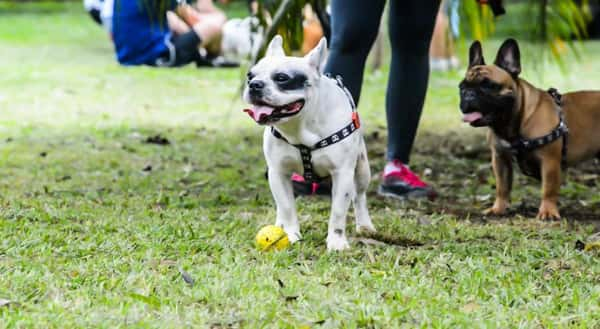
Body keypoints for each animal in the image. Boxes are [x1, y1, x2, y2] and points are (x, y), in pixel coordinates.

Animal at [243, 36, 376, 250]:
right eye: (250, 75)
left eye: (282, 78)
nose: (254, 84)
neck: (300, 126)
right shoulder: (278, 173)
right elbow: (287, 206)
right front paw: (290, 234)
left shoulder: (342, 174)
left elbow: (338, 212)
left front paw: (336, 242)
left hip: (362, 168)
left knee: (360, 196)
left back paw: (365, 225)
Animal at [460, 38, 600, 219]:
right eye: (462, 87)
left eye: (489, 86)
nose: (469, 94)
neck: (513, 123)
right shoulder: (500, 159)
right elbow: (502, 187)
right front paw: (498, 209)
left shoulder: (549, 161)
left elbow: (548, 189)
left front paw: (547, 212)